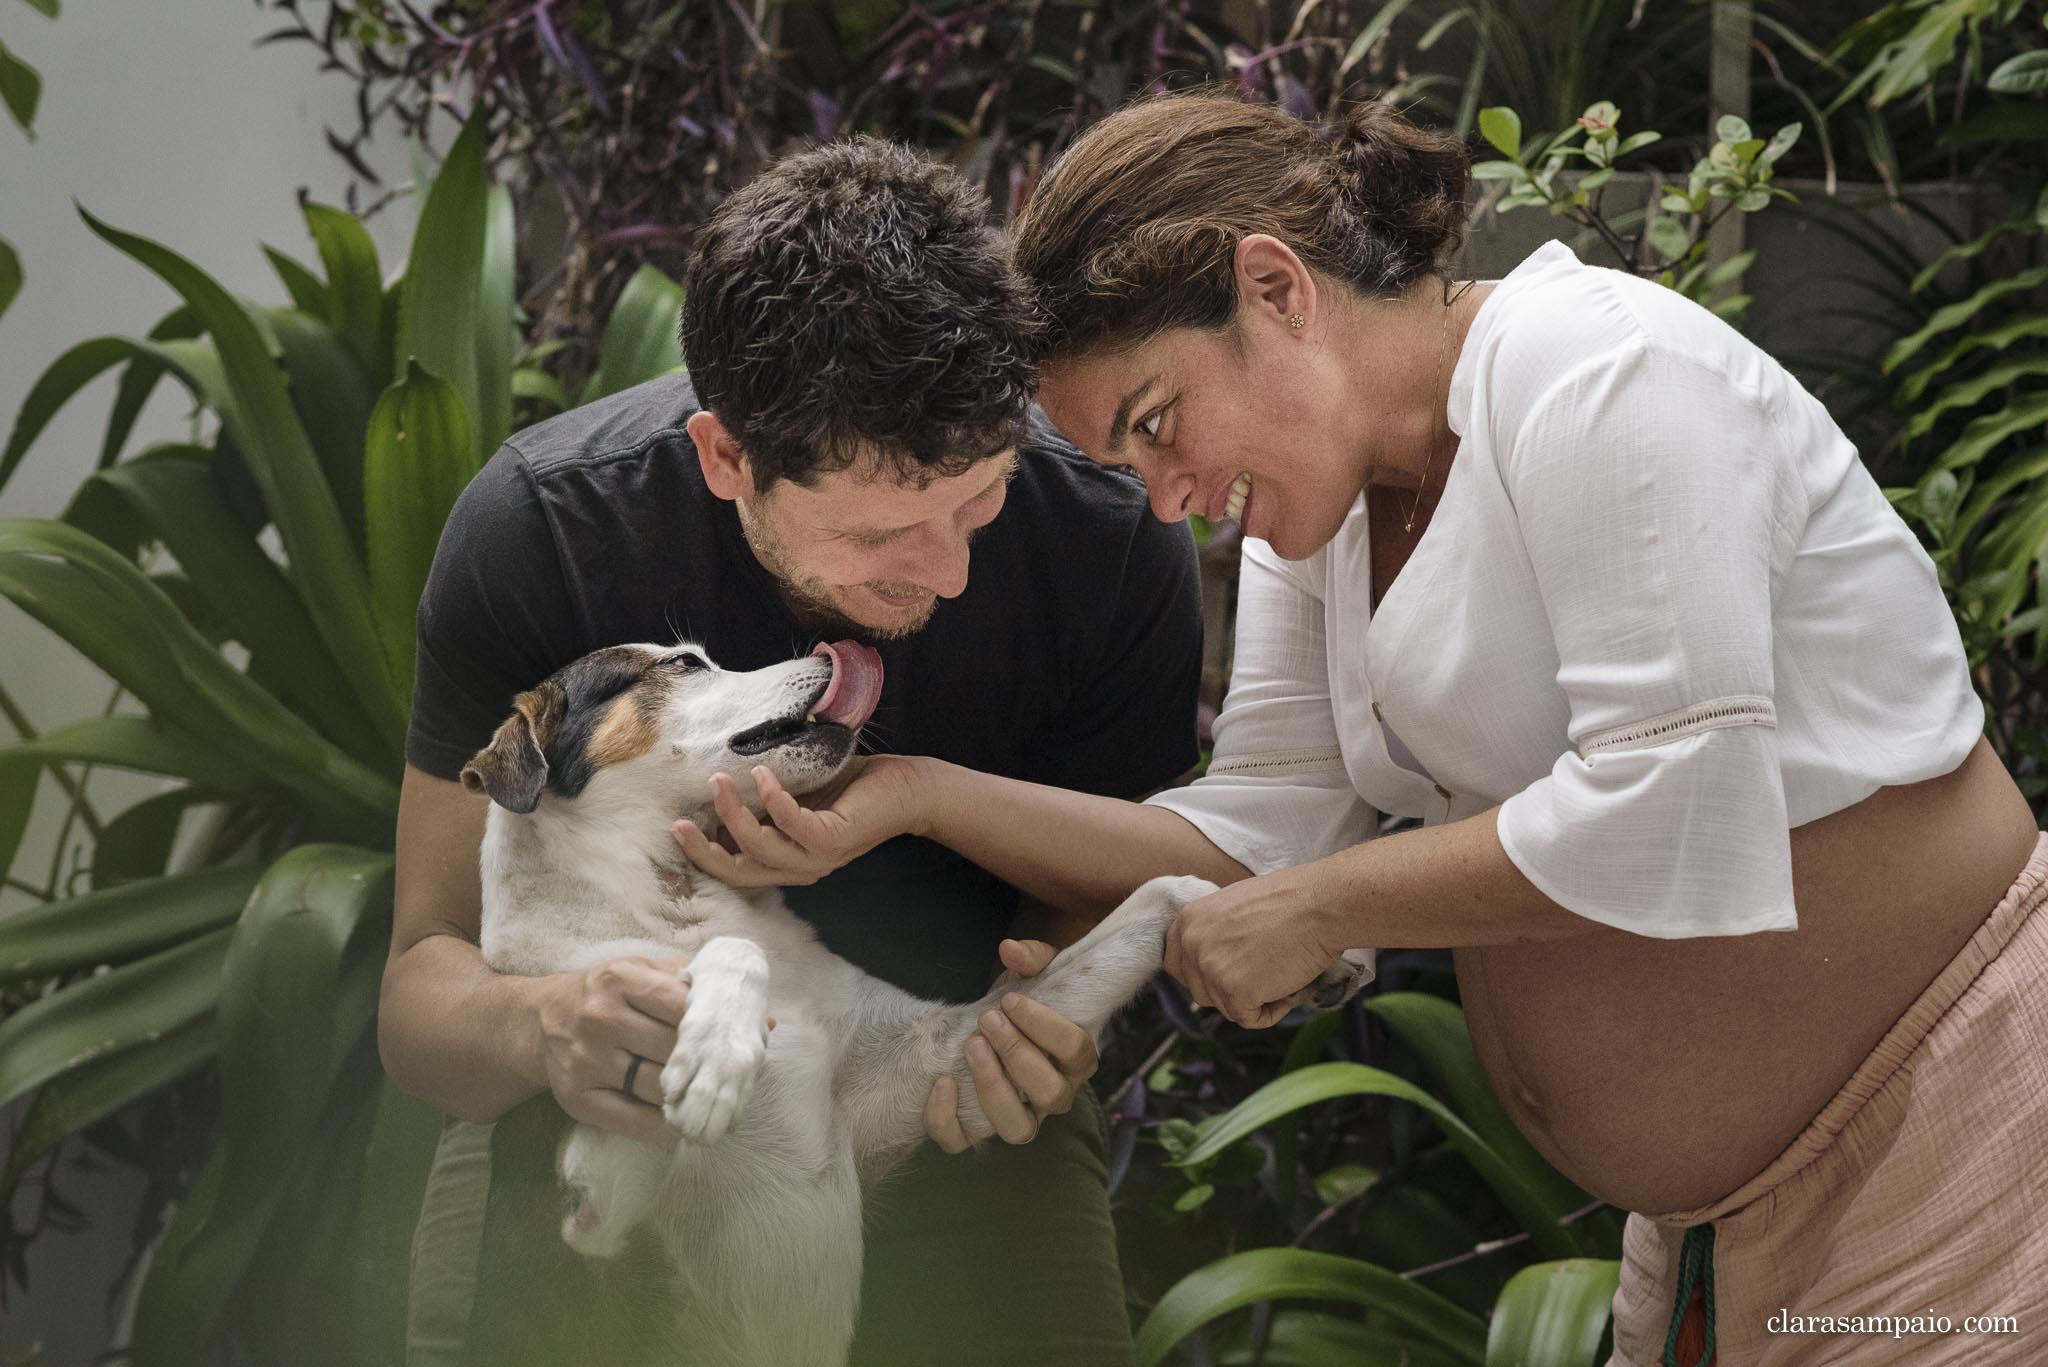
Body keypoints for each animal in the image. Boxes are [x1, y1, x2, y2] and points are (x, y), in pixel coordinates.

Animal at [458, 643, 1368, 1367]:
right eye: (684, 663)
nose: (828, 653)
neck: (670, 894)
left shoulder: (931, 1058)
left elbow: (1163, 894)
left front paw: (1293, 939)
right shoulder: (594, 1205)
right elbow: (727, 956)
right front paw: (715, 1055)